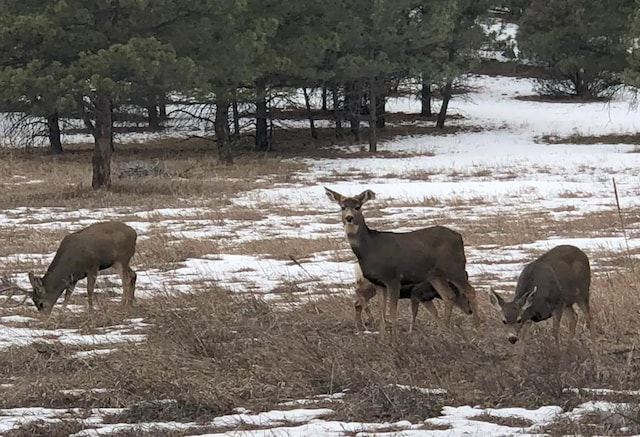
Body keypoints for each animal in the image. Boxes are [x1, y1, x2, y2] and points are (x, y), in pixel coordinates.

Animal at [324, 186, 480, 338]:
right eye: (342, 207)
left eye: (358, 207)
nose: (349, 218)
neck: (369, 248)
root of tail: (459, 237)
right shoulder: (379, 283)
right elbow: (382, 311)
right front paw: (383, 338)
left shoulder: (393, 277)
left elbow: (393, 311)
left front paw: (395, 338)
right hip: (434, 275)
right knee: (449, 296)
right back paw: (444, 332)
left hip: (454, 267)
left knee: (470, 291)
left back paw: (476, 329)